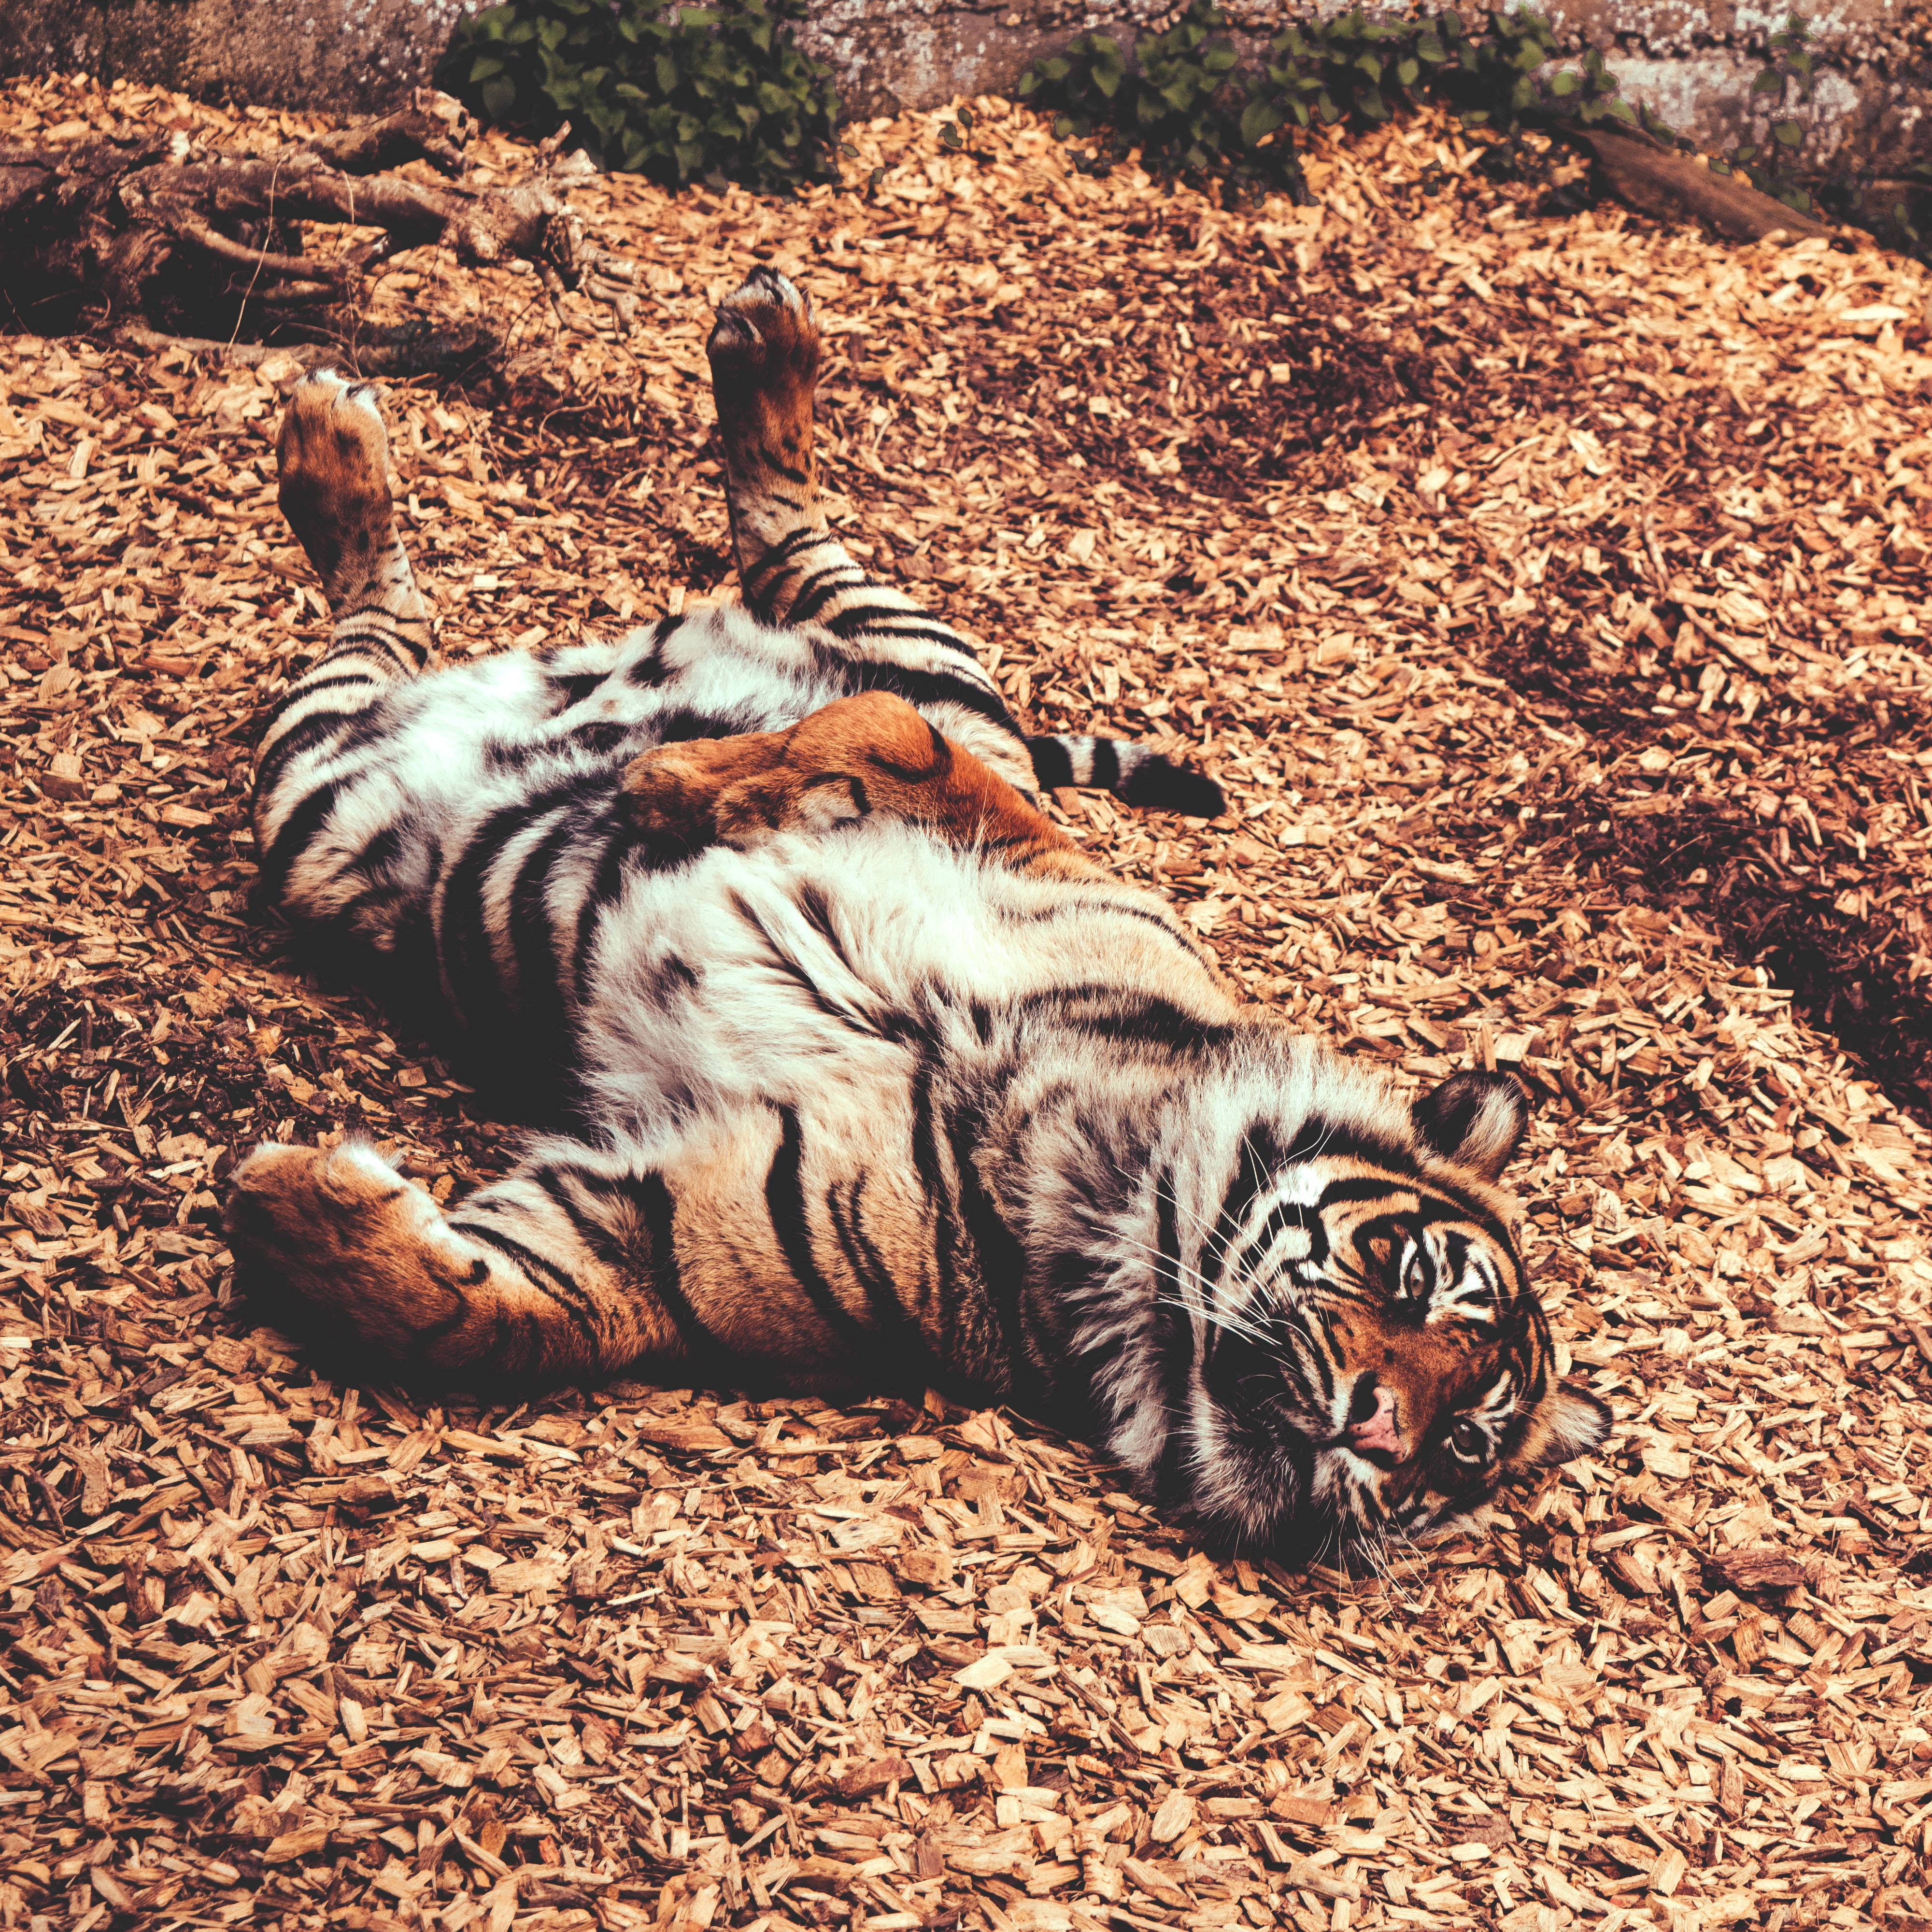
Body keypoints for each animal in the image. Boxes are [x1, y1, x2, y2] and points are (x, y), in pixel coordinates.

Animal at [224, 267, 1611, 1561]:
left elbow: (491, 1315)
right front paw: (676, 785)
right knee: (770, 549)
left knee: (398, 630)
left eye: (1462, 1444)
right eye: (1416, 1278)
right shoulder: (1041, 845)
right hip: (898, 655)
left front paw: (299, 1208)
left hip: (322, 799)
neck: (1110, 1189)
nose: (1378, 1434)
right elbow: (881, 739)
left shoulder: (669, 1228)